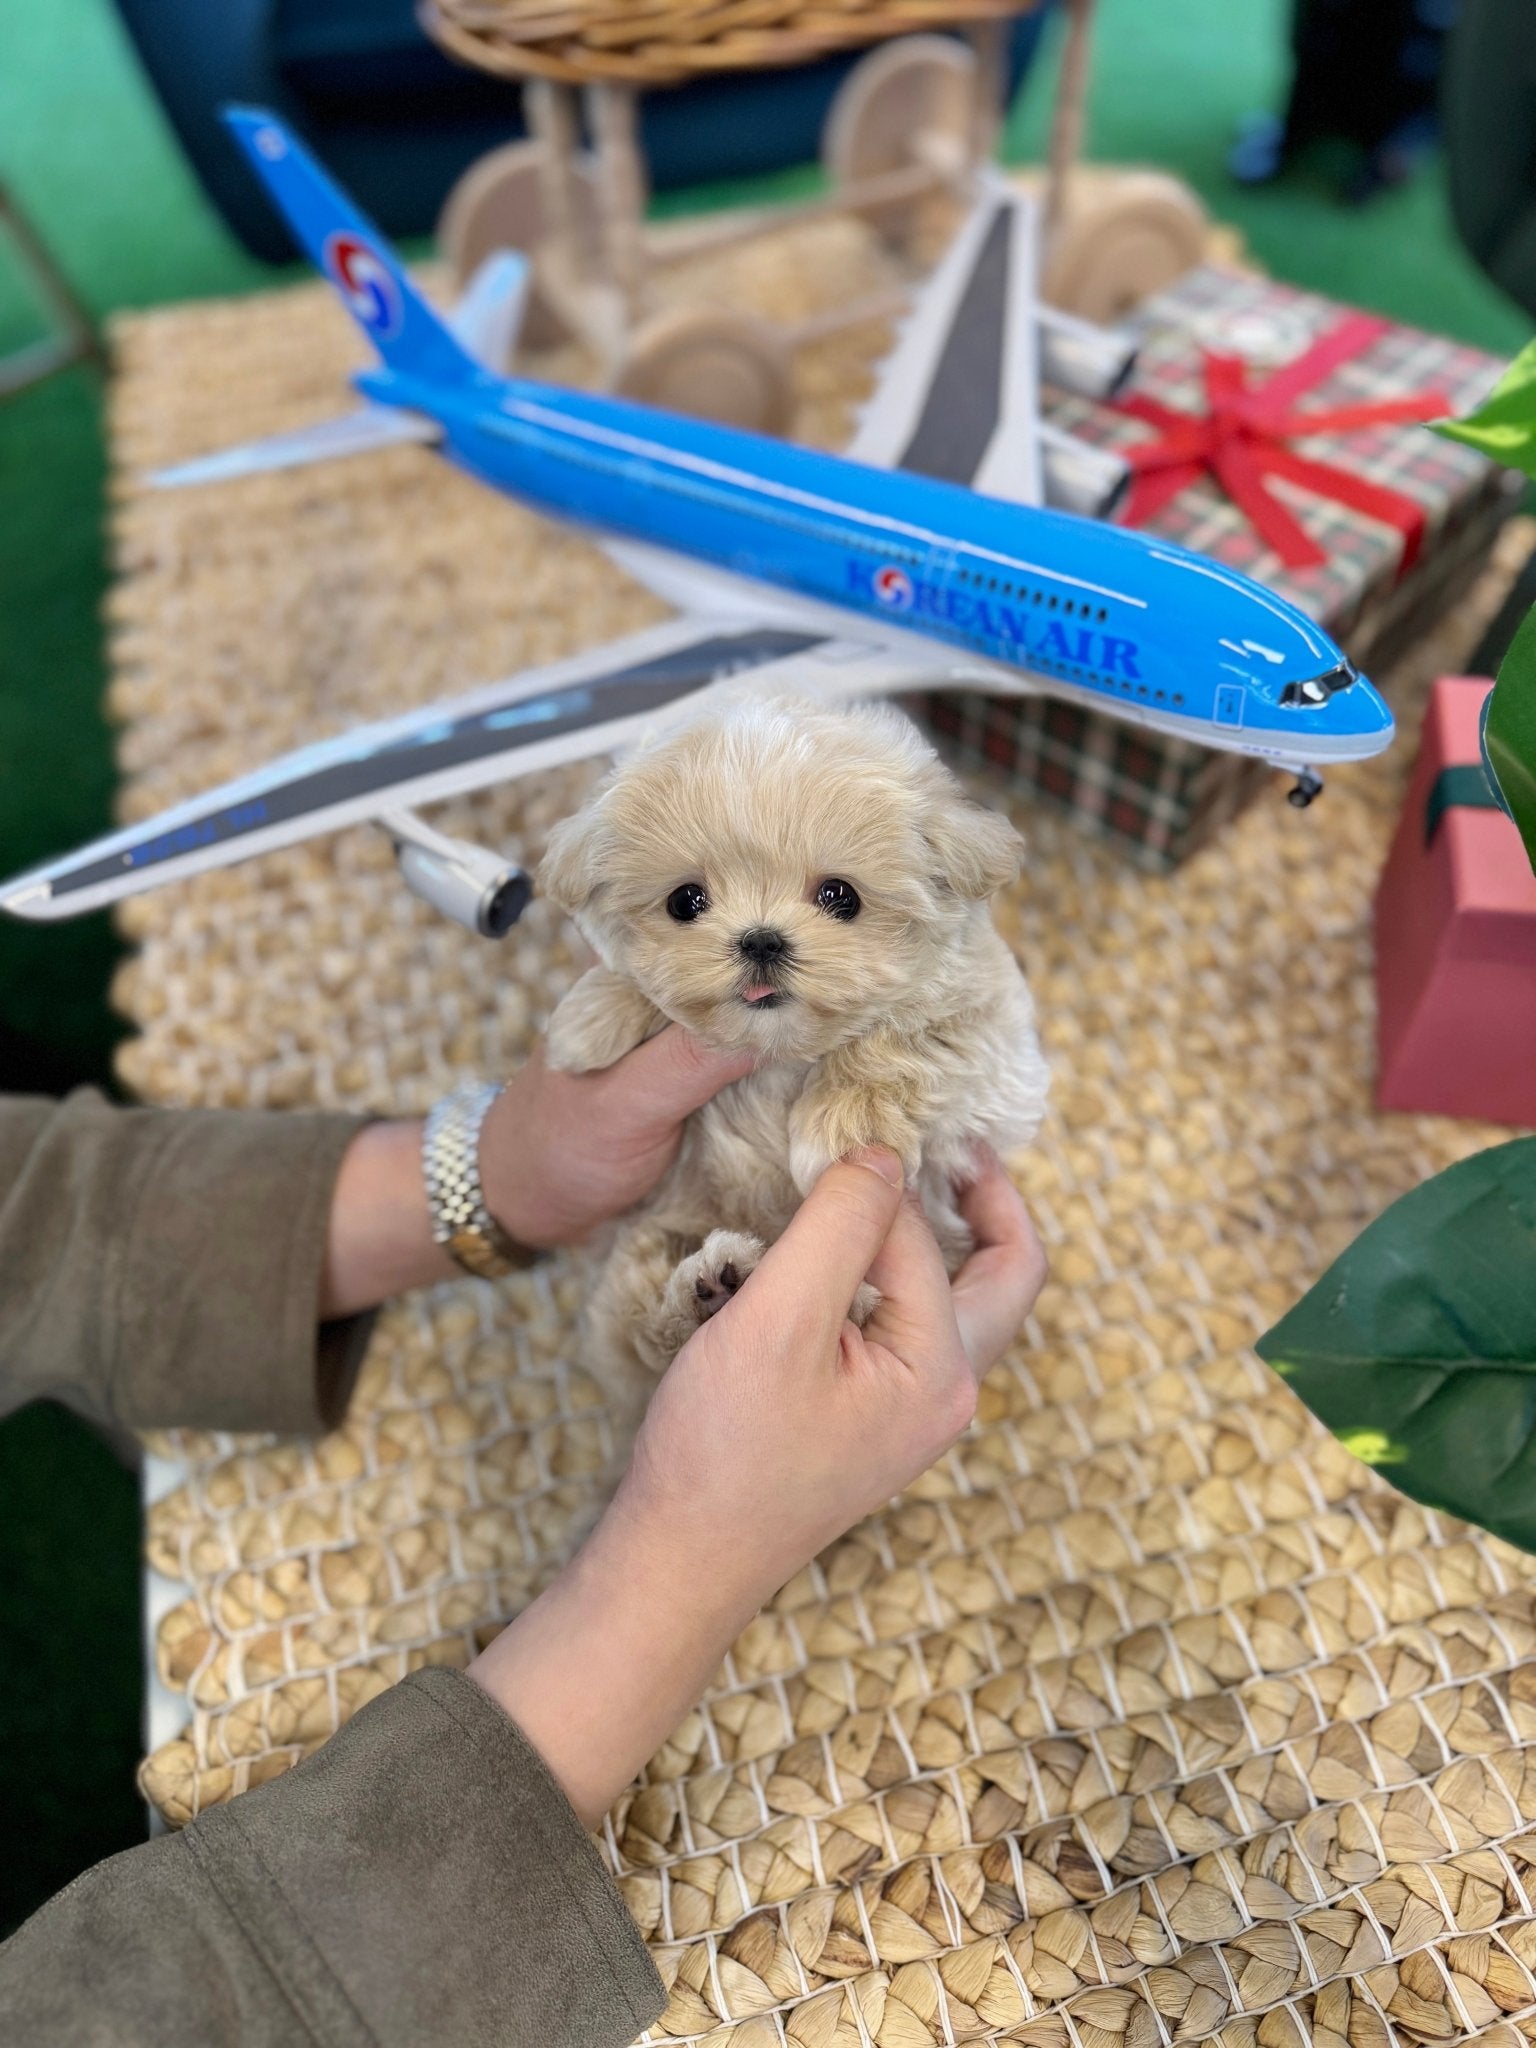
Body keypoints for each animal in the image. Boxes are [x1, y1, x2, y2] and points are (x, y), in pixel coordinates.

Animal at [536, 696, 1056, 1417]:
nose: (760, 939)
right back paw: (707, 1294)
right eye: (686, 901)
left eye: (841, 896)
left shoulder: (994, 1037)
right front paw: (591, 1019)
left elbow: (911, 1033)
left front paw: (839, 1125)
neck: (781, 1051)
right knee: (643, 1337)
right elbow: (638, 985)